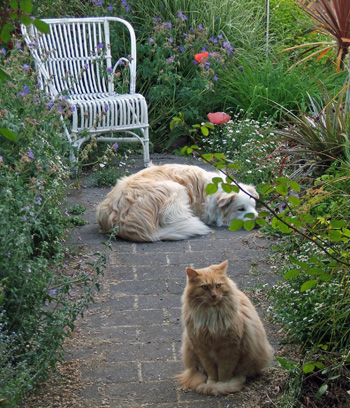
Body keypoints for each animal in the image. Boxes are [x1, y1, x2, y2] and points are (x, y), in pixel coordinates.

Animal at [178, 262, 274, 396]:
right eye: (204, 287)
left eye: (218, 285)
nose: (214, 295)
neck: (210, 316)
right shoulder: (202, 349)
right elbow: (210, 370)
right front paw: (212, 383)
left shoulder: (229, 348)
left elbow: (224, 370)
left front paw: (222, 384)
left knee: (245, 372)